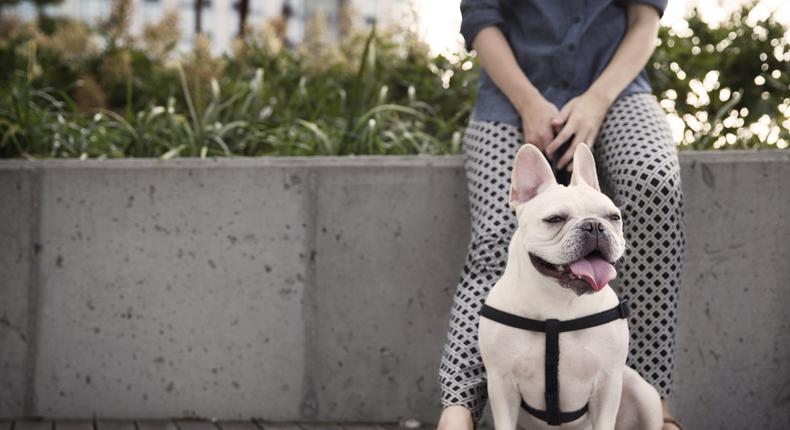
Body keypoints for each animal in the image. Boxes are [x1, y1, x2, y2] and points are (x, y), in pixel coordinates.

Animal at [480, 143, 664, 428]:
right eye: (555, 219)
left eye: (614, 217)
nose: (595, 226)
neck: (557, 306)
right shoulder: (501, 385)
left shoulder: (608, 384)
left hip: (643, 393)